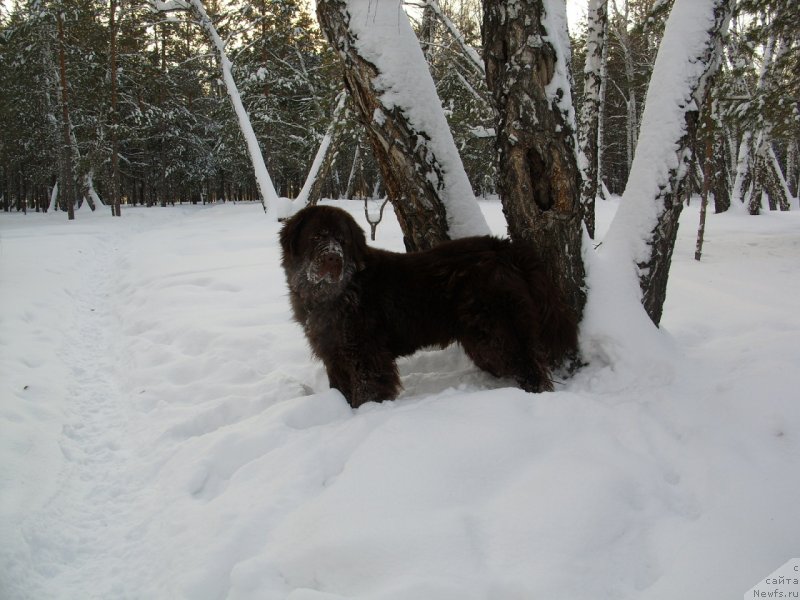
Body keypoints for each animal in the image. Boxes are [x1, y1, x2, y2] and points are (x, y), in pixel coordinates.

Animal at [282, 205, 576, 408]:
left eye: (342, 240)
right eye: (316, 237)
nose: (333, 257)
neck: (330, 295)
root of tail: (501, 247)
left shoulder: (365, 352)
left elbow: (368, 389)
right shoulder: (333, 351)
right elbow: (341, 387)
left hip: (497, 330)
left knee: (529, 364)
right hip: (481, 337)